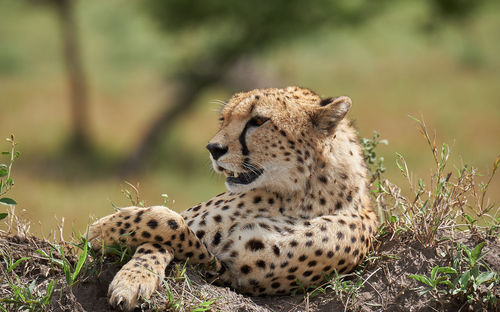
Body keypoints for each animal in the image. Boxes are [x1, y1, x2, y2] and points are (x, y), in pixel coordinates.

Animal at [88, 86, 376, 310]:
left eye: (258, 121)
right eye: (223, 119)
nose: (213, 148)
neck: (300, 194)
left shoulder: (227, 273)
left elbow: (172, 224)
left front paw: (103, 229)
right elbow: (162, 233)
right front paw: (132, 277)